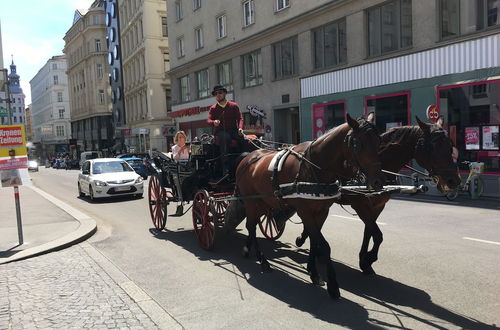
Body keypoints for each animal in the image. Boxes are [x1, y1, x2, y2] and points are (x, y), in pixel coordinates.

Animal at [233, 114, 382, 298]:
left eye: (379, 141)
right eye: (357, 144)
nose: (378, 182)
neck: (314, 166)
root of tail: (248, 156)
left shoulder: (322, 211)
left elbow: (313, 240)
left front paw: (313, 272)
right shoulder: (305, 211)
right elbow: (324, 246)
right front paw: (333, 285)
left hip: (262, 201)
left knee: (252, 225)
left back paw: (249, 250)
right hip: (250, 201)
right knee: (251, 226)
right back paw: (263, 260)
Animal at [294, 117, 462, 274]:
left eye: (450, 146)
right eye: (432, 147)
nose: (454, 180)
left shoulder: (378, 206)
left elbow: (370, 232)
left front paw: (364, 259)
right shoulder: (360, 205)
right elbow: (377, 234)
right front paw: (368, 258)